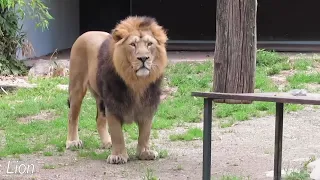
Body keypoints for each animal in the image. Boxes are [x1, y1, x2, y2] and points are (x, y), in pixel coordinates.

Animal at [66, 16, 169, 164]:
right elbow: (117, 134)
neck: (136, 82)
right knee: (72, 117)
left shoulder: (148, 106)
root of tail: (86, 33)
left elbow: (145, 133)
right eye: (133, 44)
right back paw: (73, 142)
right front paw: (118, 156)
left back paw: (107, 142)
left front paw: (145, 152)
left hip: (101, 99)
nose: (143, 58)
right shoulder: (113, 104)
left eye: (149, 44)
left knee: (99, 120)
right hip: (77, 88)